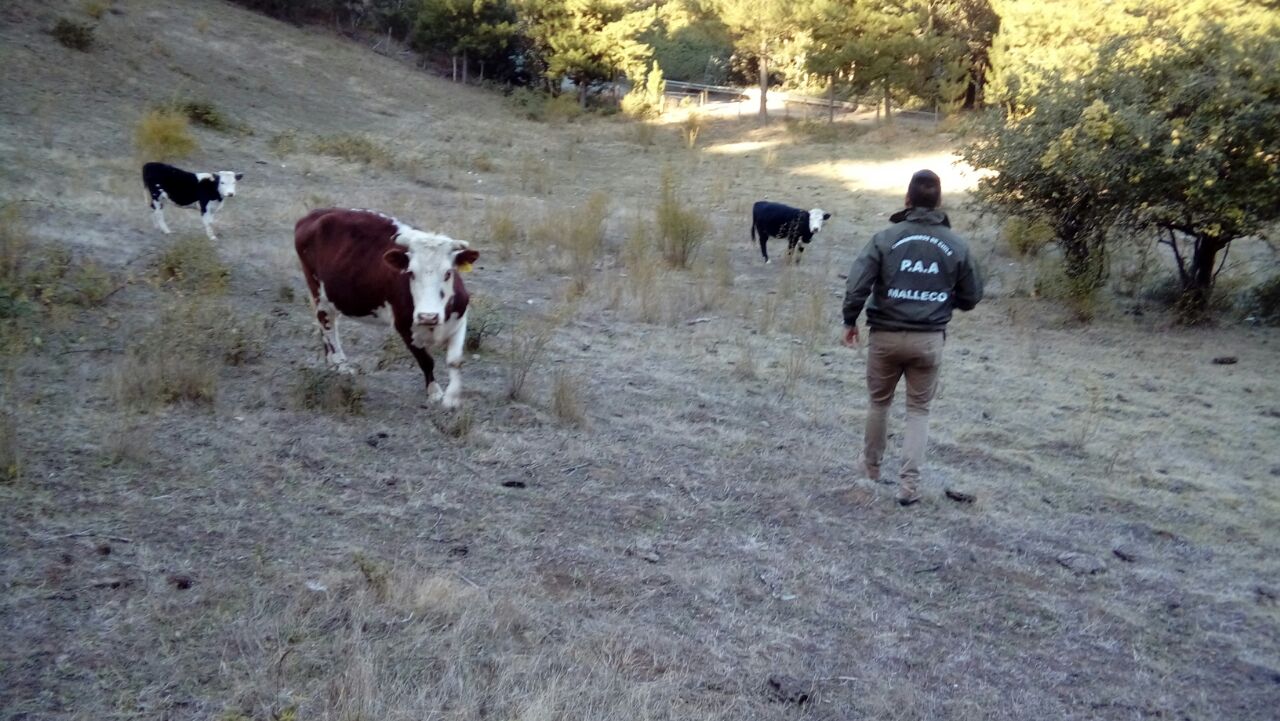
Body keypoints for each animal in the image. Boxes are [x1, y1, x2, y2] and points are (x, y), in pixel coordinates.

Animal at [294, 210, 481, 412]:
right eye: (411, 273)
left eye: (448, 273)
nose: (427, 316)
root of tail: (316, 214)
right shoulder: (404, 326)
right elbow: (426, 360)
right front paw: (434, 393)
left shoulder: (460, 320)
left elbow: (454, 360)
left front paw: (452, 397)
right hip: (318, 292)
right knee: (326, 324)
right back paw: (340, 364)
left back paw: (332, 363)